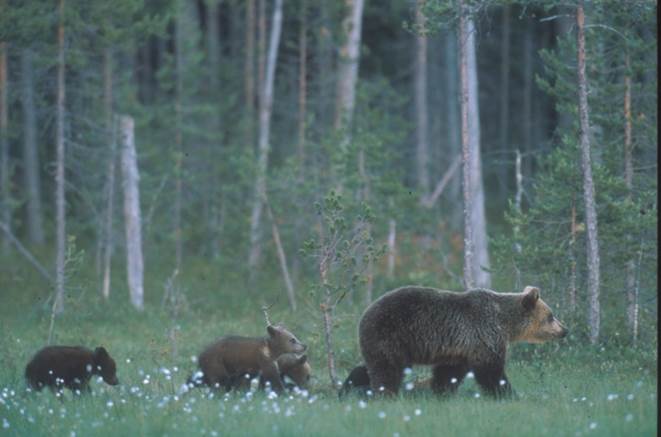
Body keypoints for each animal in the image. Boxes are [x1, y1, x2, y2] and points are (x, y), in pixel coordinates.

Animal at [356, 284, 568, 396]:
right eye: (551, 316)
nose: (565, 330)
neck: (506, 323)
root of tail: (365, 313)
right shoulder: (485, 336)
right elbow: (491, 371)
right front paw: (509, 394)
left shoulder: (459, 349)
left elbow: (449, 373)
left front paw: (440, 392)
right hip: (391, 334)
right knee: (387, 369)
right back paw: (385, 393)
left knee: (372, 366)